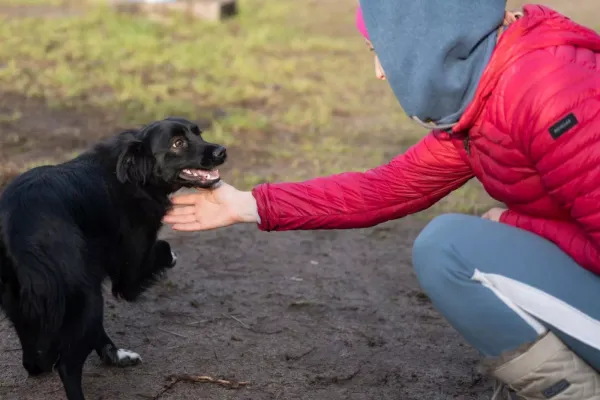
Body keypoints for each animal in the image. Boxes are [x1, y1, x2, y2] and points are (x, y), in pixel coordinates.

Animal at [0, 117, 226, 398]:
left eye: (199, 133)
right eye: (178, 143)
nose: (222, 151)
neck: (133, 177)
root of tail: (18, 224)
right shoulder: (129, 273)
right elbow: (162, 248)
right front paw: (171, 255)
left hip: (26, 303)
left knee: (34, 360)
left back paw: (113, 356)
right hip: (86, 297)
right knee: (67, 365)